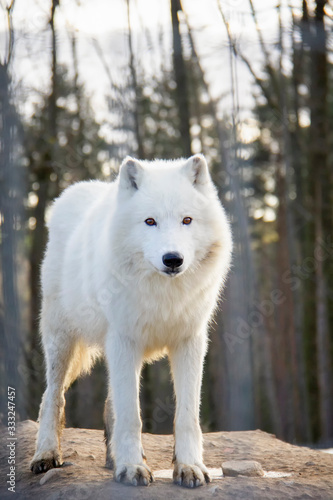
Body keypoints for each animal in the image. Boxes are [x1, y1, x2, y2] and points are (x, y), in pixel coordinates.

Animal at [29, 153, 231, 488]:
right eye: (150, 221)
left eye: (187, 220)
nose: (173, 259)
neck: (163, 297)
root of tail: (74, 191)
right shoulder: (124, 341)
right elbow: (131, 416)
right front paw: (133, 467)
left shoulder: (189, 342)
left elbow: (187, 415)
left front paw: (189, 467)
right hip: (61, 341)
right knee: (51, 397)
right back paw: (45, 455)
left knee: (109, 403)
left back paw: (112, 460)